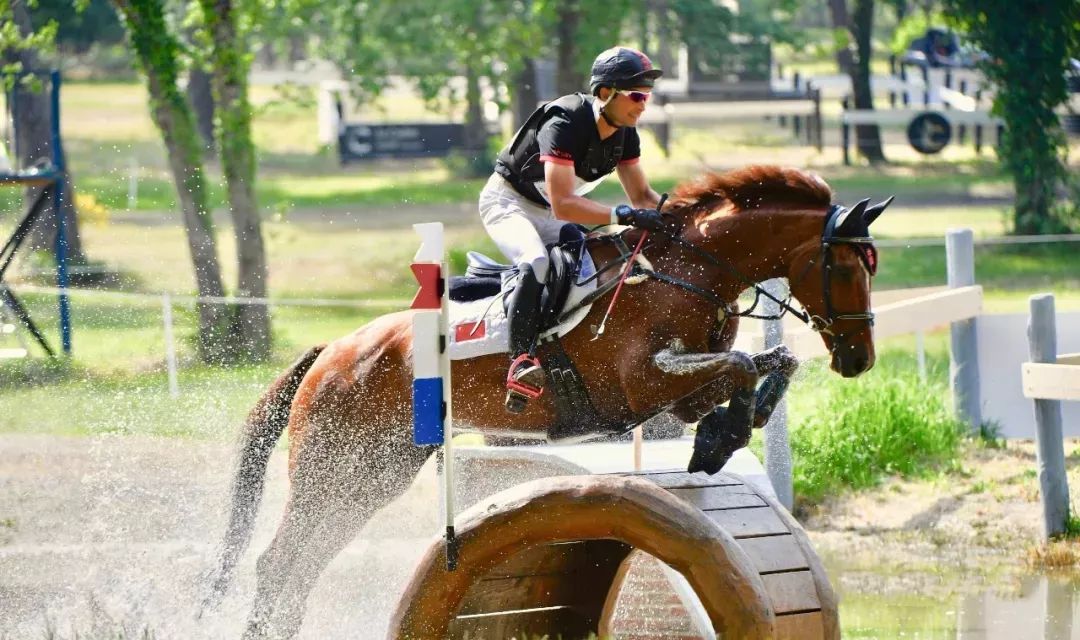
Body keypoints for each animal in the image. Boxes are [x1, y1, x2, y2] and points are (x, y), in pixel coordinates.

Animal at [206, 162, 889, 634]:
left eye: (871, 266)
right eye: (846, 267)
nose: (859, 360)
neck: (687, 272)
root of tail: (334, 351)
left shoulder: (678, 394)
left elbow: (769, 362)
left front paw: (725, 435)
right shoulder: (646, 385)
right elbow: (744, 364)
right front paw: (721, 440)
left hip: (373, 474)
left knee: (303, 565)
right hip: (334, 470)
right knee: (279, 564)